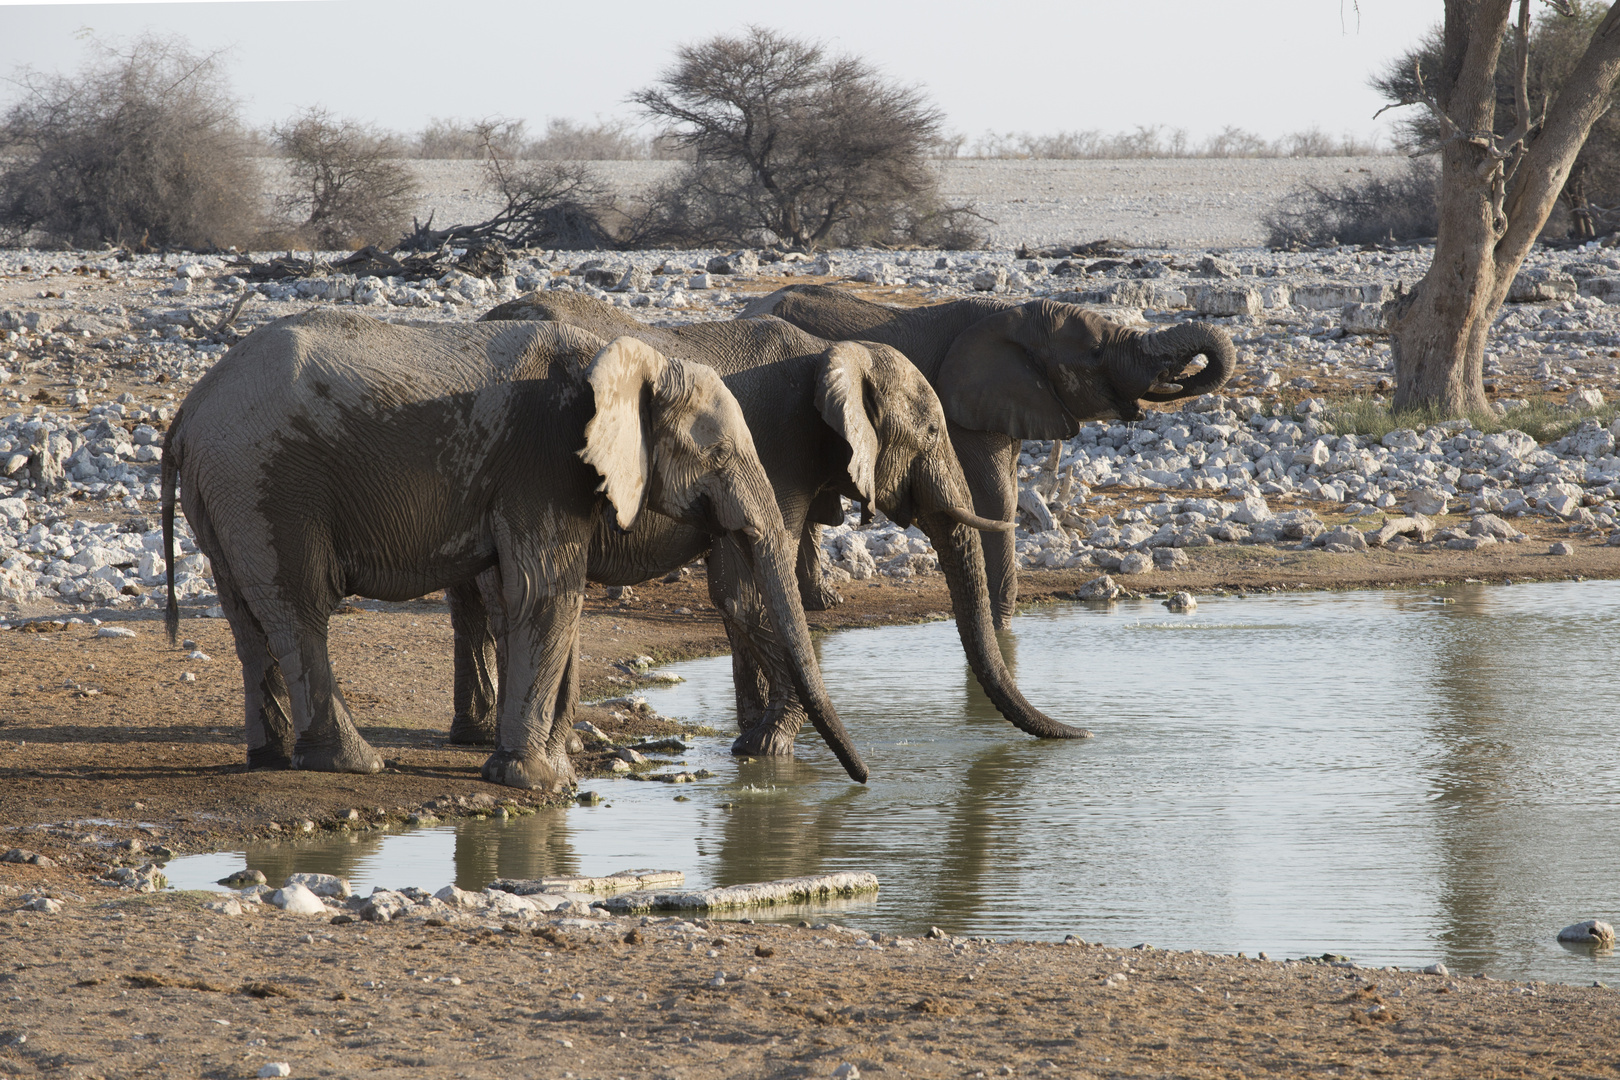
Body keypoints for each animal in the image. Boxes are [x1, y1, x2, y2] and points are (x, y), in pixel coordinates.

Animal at [162, 307, 868, 790]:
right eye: (718, 456)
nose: (863, 780)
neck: (625, 362)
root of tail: (188, 412)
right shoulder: (545, 460)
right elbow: (545, 590)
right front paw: (539, 781)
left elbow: (519, 596)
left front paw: (545, 766)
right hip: (270, 484)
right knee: (299, 609)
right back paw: (354, 764)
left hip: (225, 494)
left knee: (247, 617)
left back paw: (270, 758)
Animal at [463, 291, 1101, 757]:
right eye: (928, 434)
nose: (1087, 734)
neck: (832, 353)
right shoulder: (777, 452)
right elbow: (749, 589)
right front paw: (773, 743)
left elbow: (739, 591)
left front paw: (753, 738)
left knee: (483, 598)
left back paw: (488, 738)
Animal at [741, 283, 1237, 628]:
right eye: (1096, 352)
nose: (1178, 375)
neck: (1014, 316)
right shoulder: (965, 404)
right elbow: (995, 498)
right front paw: (999, 625)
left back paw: (823, 603)